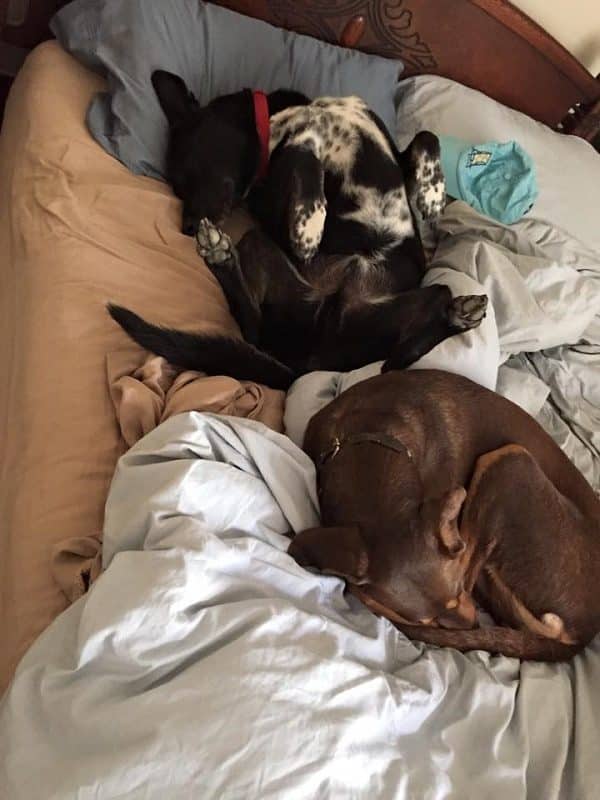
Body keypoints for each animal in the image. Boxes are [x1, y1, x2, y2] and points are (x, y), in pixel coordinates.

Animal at [110, 70, 488, 390]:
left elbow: (427, 137)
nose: (187, 228)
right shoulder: (275, 198)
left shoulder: (390, 149)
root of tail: (311, 360)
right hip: (257, 245)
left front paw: (433, 194)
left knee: (417, 328)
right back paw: (219, 255)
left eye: (186, 176)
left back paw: (457, 315)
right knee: (254, 328)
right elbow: (305, 159)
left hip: (386, 315)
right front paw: (310, 226)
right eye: (176, 186)